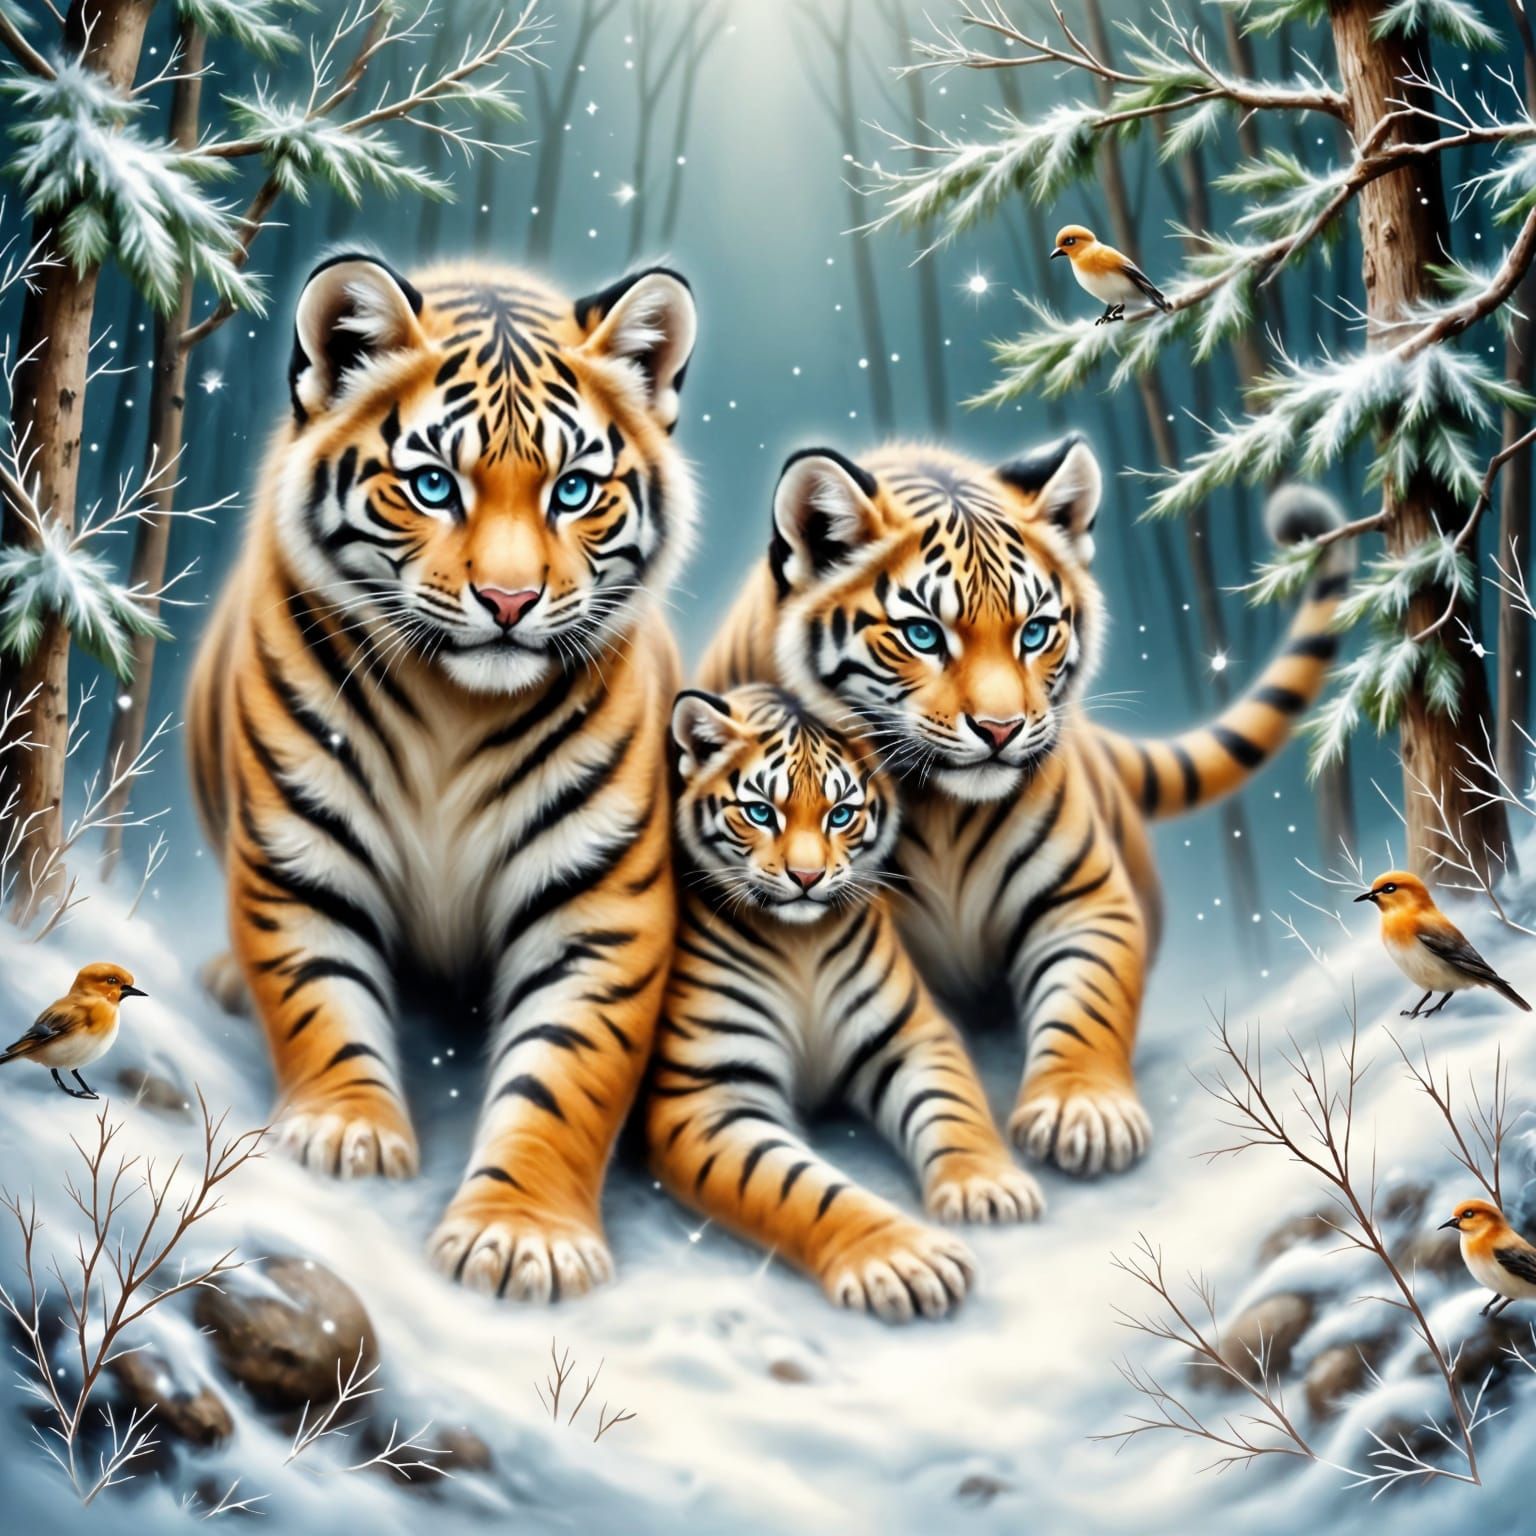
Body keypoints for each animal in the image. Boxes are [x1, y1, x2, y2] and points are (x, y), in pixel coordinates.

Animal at [185, 251, 698, 1302]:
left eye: (574, 491)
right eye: (431, 485)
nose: (508, 600)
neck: (456, 714)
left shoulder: (600, 909)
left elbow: (565, 1073)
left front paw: (523, 1238)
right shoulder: (298, 859)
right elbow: (319, 998)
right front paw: (345, 1135)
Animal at [649, 683, 1042, 1323]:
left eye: (840, 814)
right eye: (761, 812)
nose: (807, 878)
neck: (799, 944)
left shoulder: (912, 1037)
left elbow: (954, 1110)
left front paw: (987, 1187)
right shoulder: (707, 1096)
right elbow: (800, 1187)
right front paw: (902, 1260)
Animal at [698, 435, 1351, 1178]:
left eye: (1034, 633)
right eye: (923, 635)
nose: (1002, 729)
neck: (936, 807)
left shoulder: (1086, 897)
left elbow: (1089, 997)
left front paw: (1083, 1114)